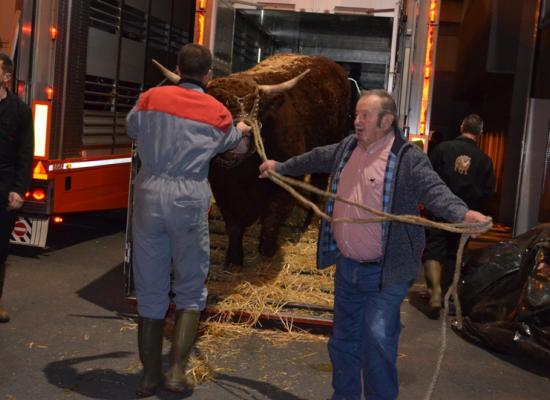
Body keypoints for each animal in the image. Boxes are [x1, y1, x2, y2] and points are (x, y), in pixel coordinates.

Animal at [157, 53, 352, 266]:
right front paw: (234, 258)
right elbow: (233, 225)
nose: (240, 136)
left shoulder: (282, 185)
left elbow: (272, 218)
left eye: (254, 107)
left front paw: (267, 251)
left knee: (319, 184)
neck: (243, 174)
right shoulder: (223, 189)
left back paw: (310, 223)